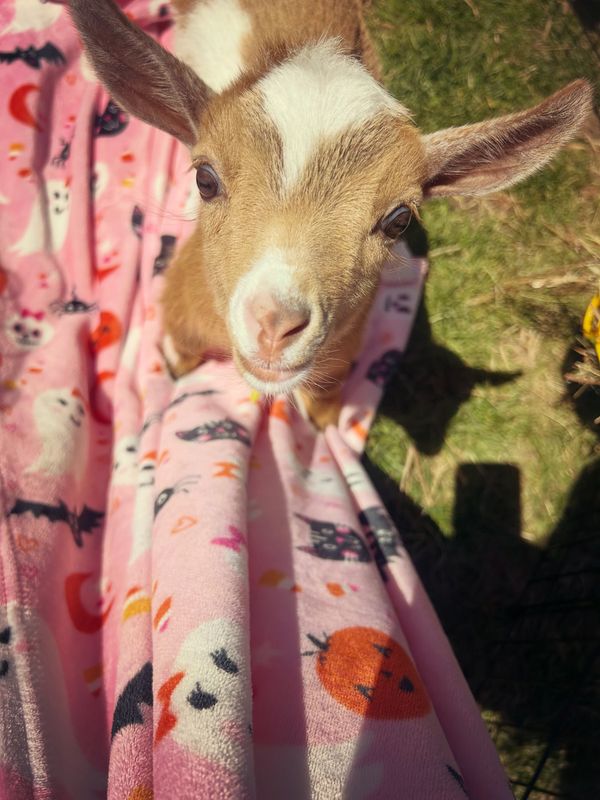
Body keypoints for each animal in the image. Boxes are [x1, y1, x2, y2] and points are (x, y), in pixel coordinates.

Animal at [69, 0, 593, 429]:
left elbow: (323, 408)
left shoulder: (341, 356)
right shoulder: (179, 318)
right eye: (206, 179)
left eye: (399, 219)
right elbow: (178, 358)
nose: (275, 324)